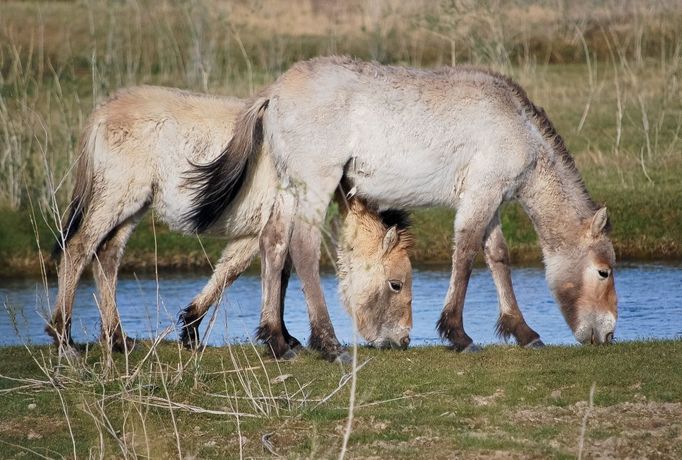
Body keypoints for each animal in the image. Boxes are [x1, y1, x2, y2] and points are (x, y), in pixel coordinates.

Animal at [47, 85, 412, 360]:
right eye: (396, 284)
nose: (404, 340)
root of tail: (103, 112)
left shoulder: (256, 232)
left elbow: (238, 272)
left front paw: (192, 329)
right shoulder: (275, 225)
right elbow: (268, 269)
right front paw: (279, 342)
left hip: (132, 207)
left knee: (107, 255)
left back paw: (119, 340)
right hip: (116, 199)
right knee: (78, 249)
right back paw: (65, 340)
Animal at [186, 56, 616, 360]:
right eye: (604, 271)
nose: (609, 334)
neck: (517, 125)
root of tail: (274, 93)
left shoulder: (487, 196)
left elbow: (497, 255)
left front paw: (523, 332)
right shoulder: (482, 194)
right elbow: (466, 254)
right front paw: (459, 334)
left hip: (290, 187)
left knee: (273, 243)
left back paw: (277, 341)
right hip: (315, 184)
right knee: (303, 247)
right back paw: (328, 344)